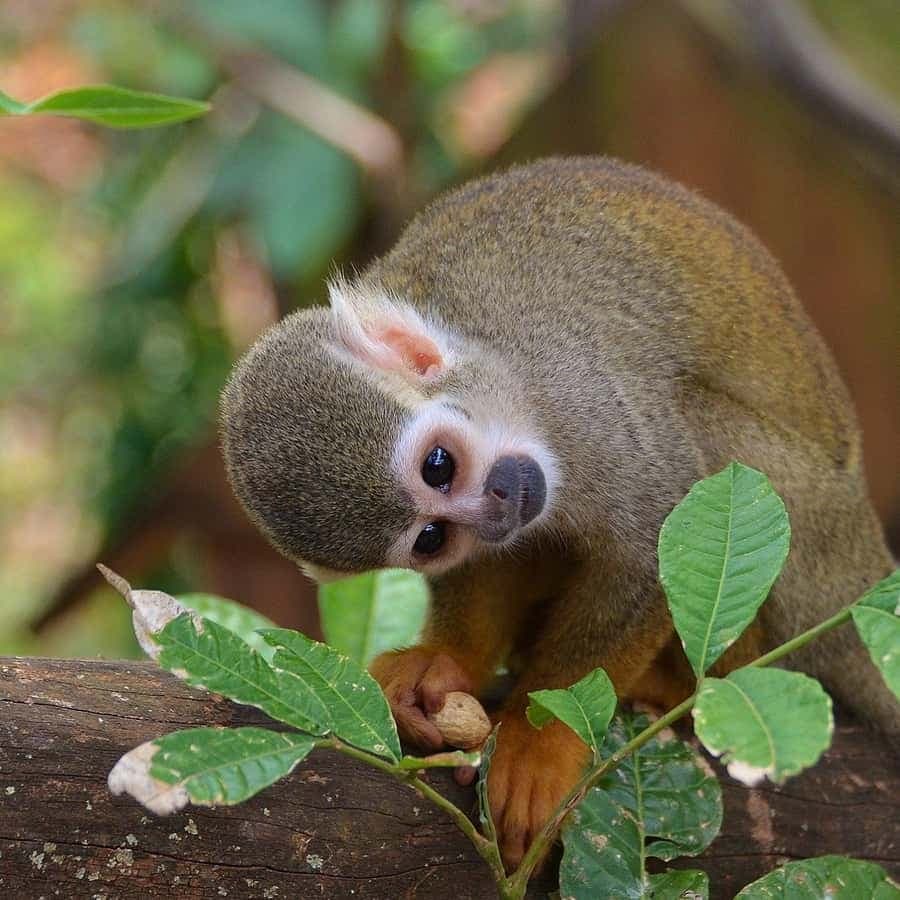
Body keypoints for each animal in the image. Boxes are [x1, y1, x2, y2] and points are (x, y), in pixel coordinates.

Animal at [220, 157, 898, 869]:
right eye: (432, 537)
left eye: (439, 464)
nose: (496, 507)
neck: (510, 384)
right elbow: (501, 562)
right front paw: (448, 662)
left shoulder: (583, 398)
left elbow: (653, 542)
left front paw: (541, 735)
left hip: (815, 541)